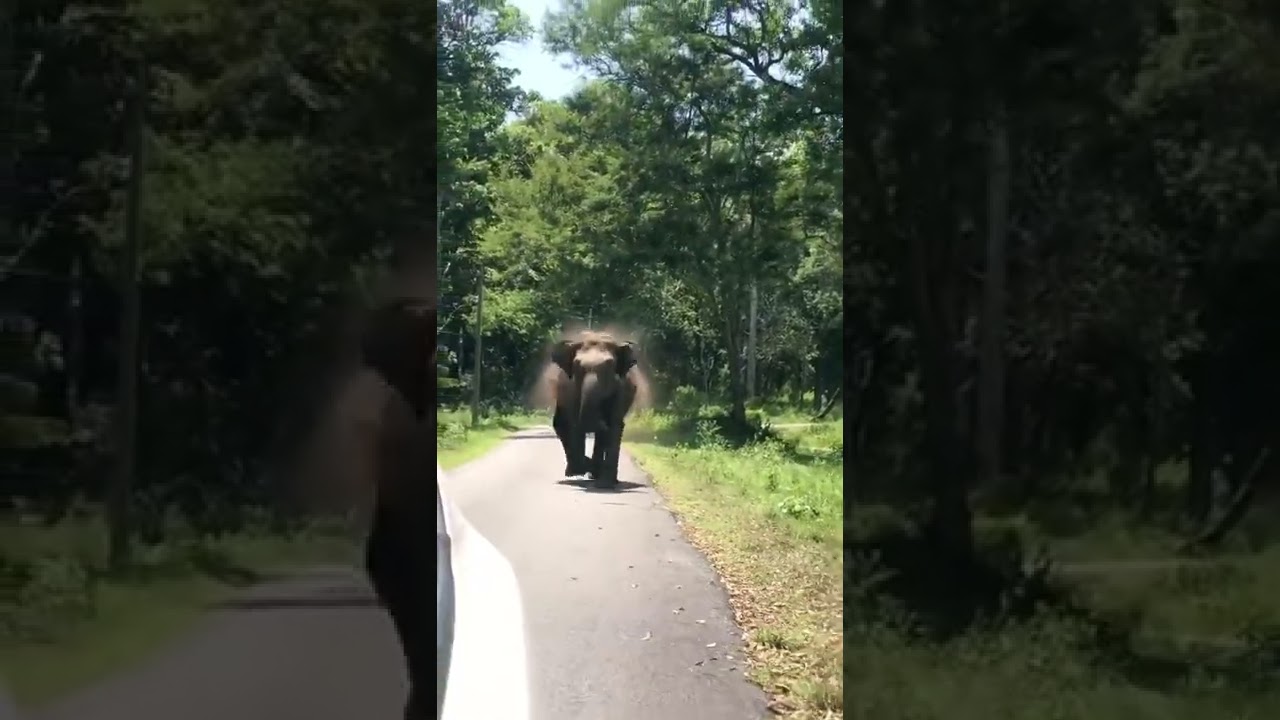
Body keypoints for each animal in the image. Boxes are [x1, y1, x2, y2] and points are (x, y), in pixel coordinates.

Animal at [548, 331, 639, 488]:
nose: (601, 420)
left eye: (609, 366)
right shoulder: (571, 390)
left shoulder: (620, 390)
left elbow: (615, 425)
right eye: (577, 366)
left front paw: (606, 485)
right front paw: (582, 470)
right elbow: (574, 425)